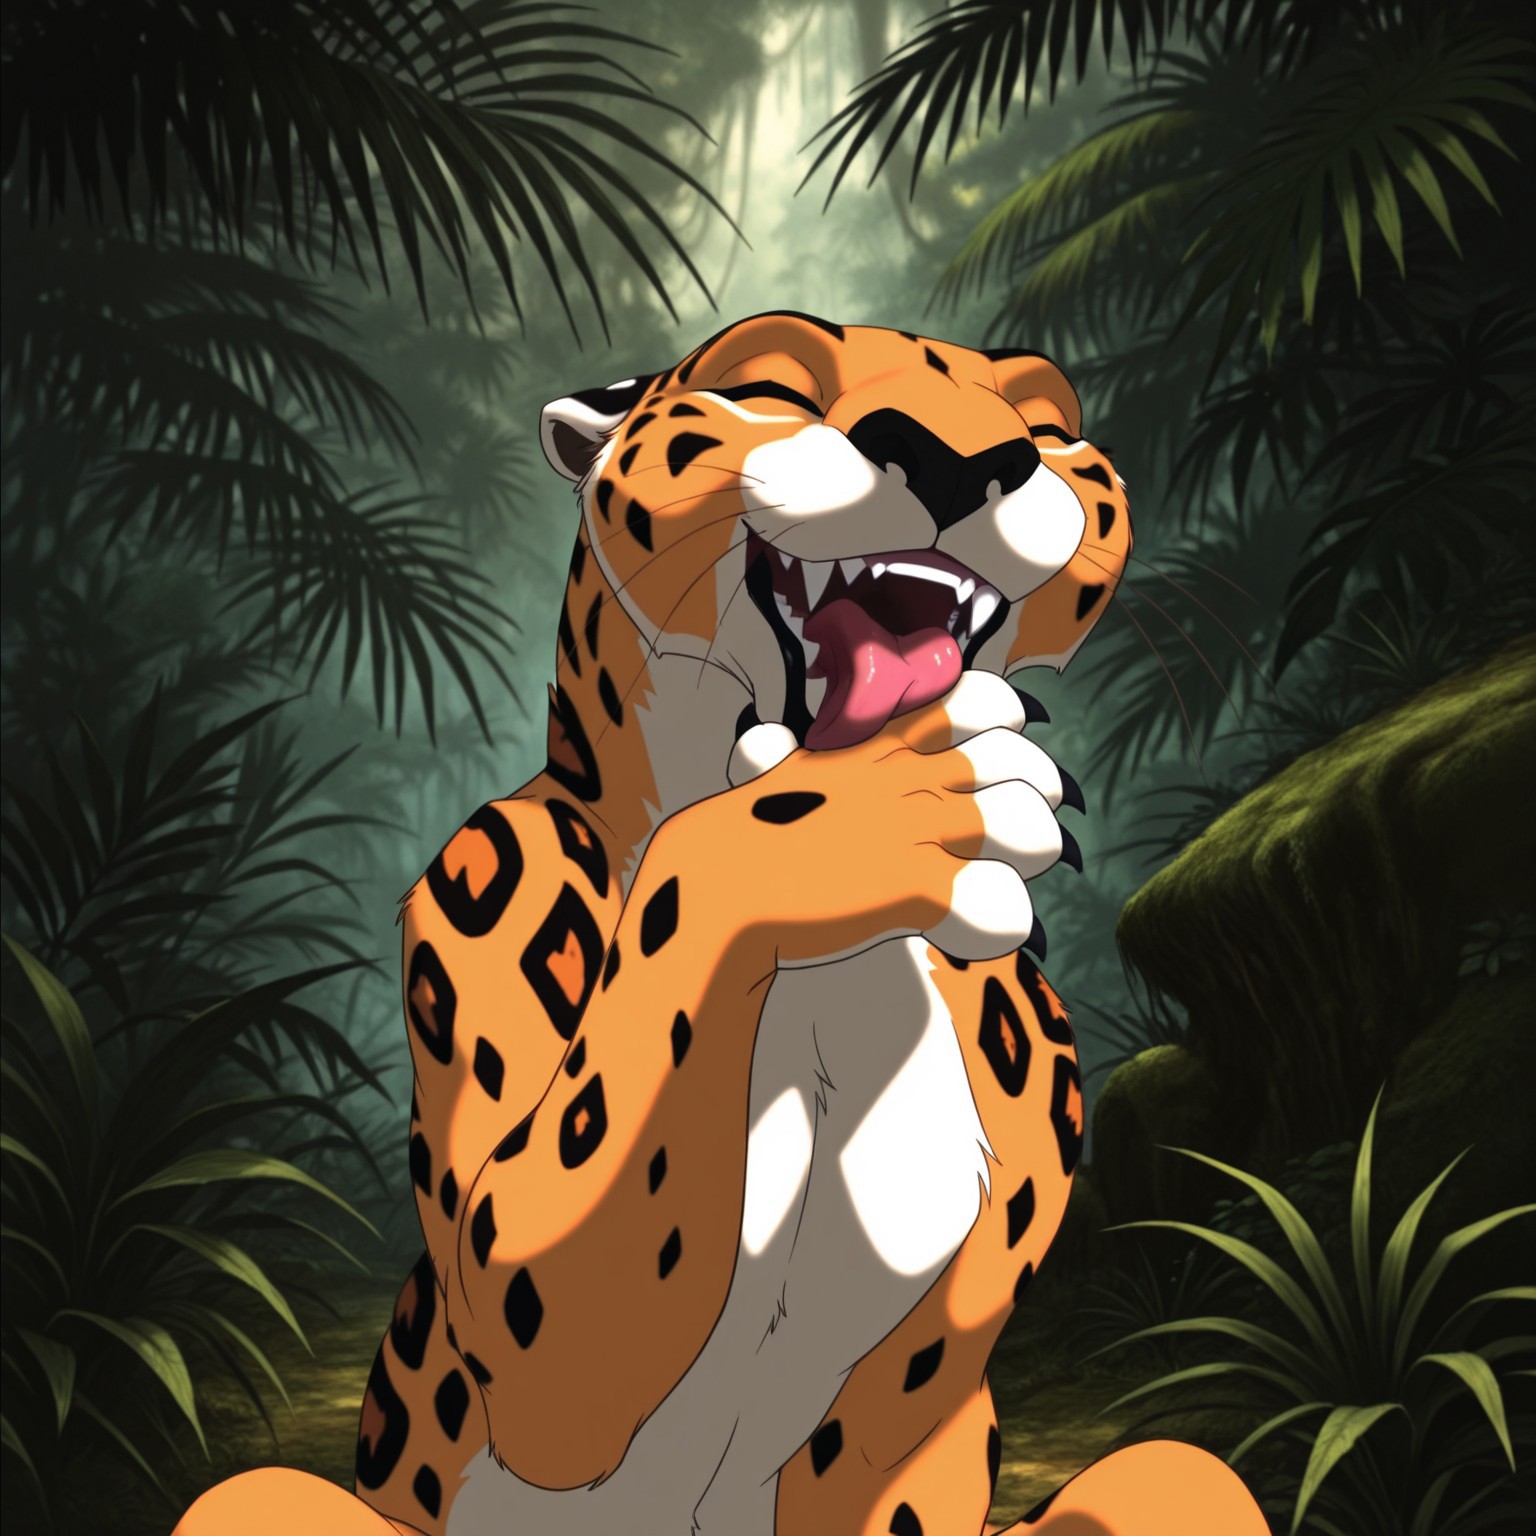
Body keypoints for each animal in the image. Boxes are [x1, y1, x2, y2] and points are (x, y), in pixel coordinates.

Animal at [176, 314, 1267, 1536]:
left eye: (1046, 423)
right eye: (769, 384)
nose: (959, 459)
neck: (836, 961)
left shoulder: (907, 1416)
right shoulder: (529, 1299)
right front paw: (874, 808)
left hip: (1174, 1477)